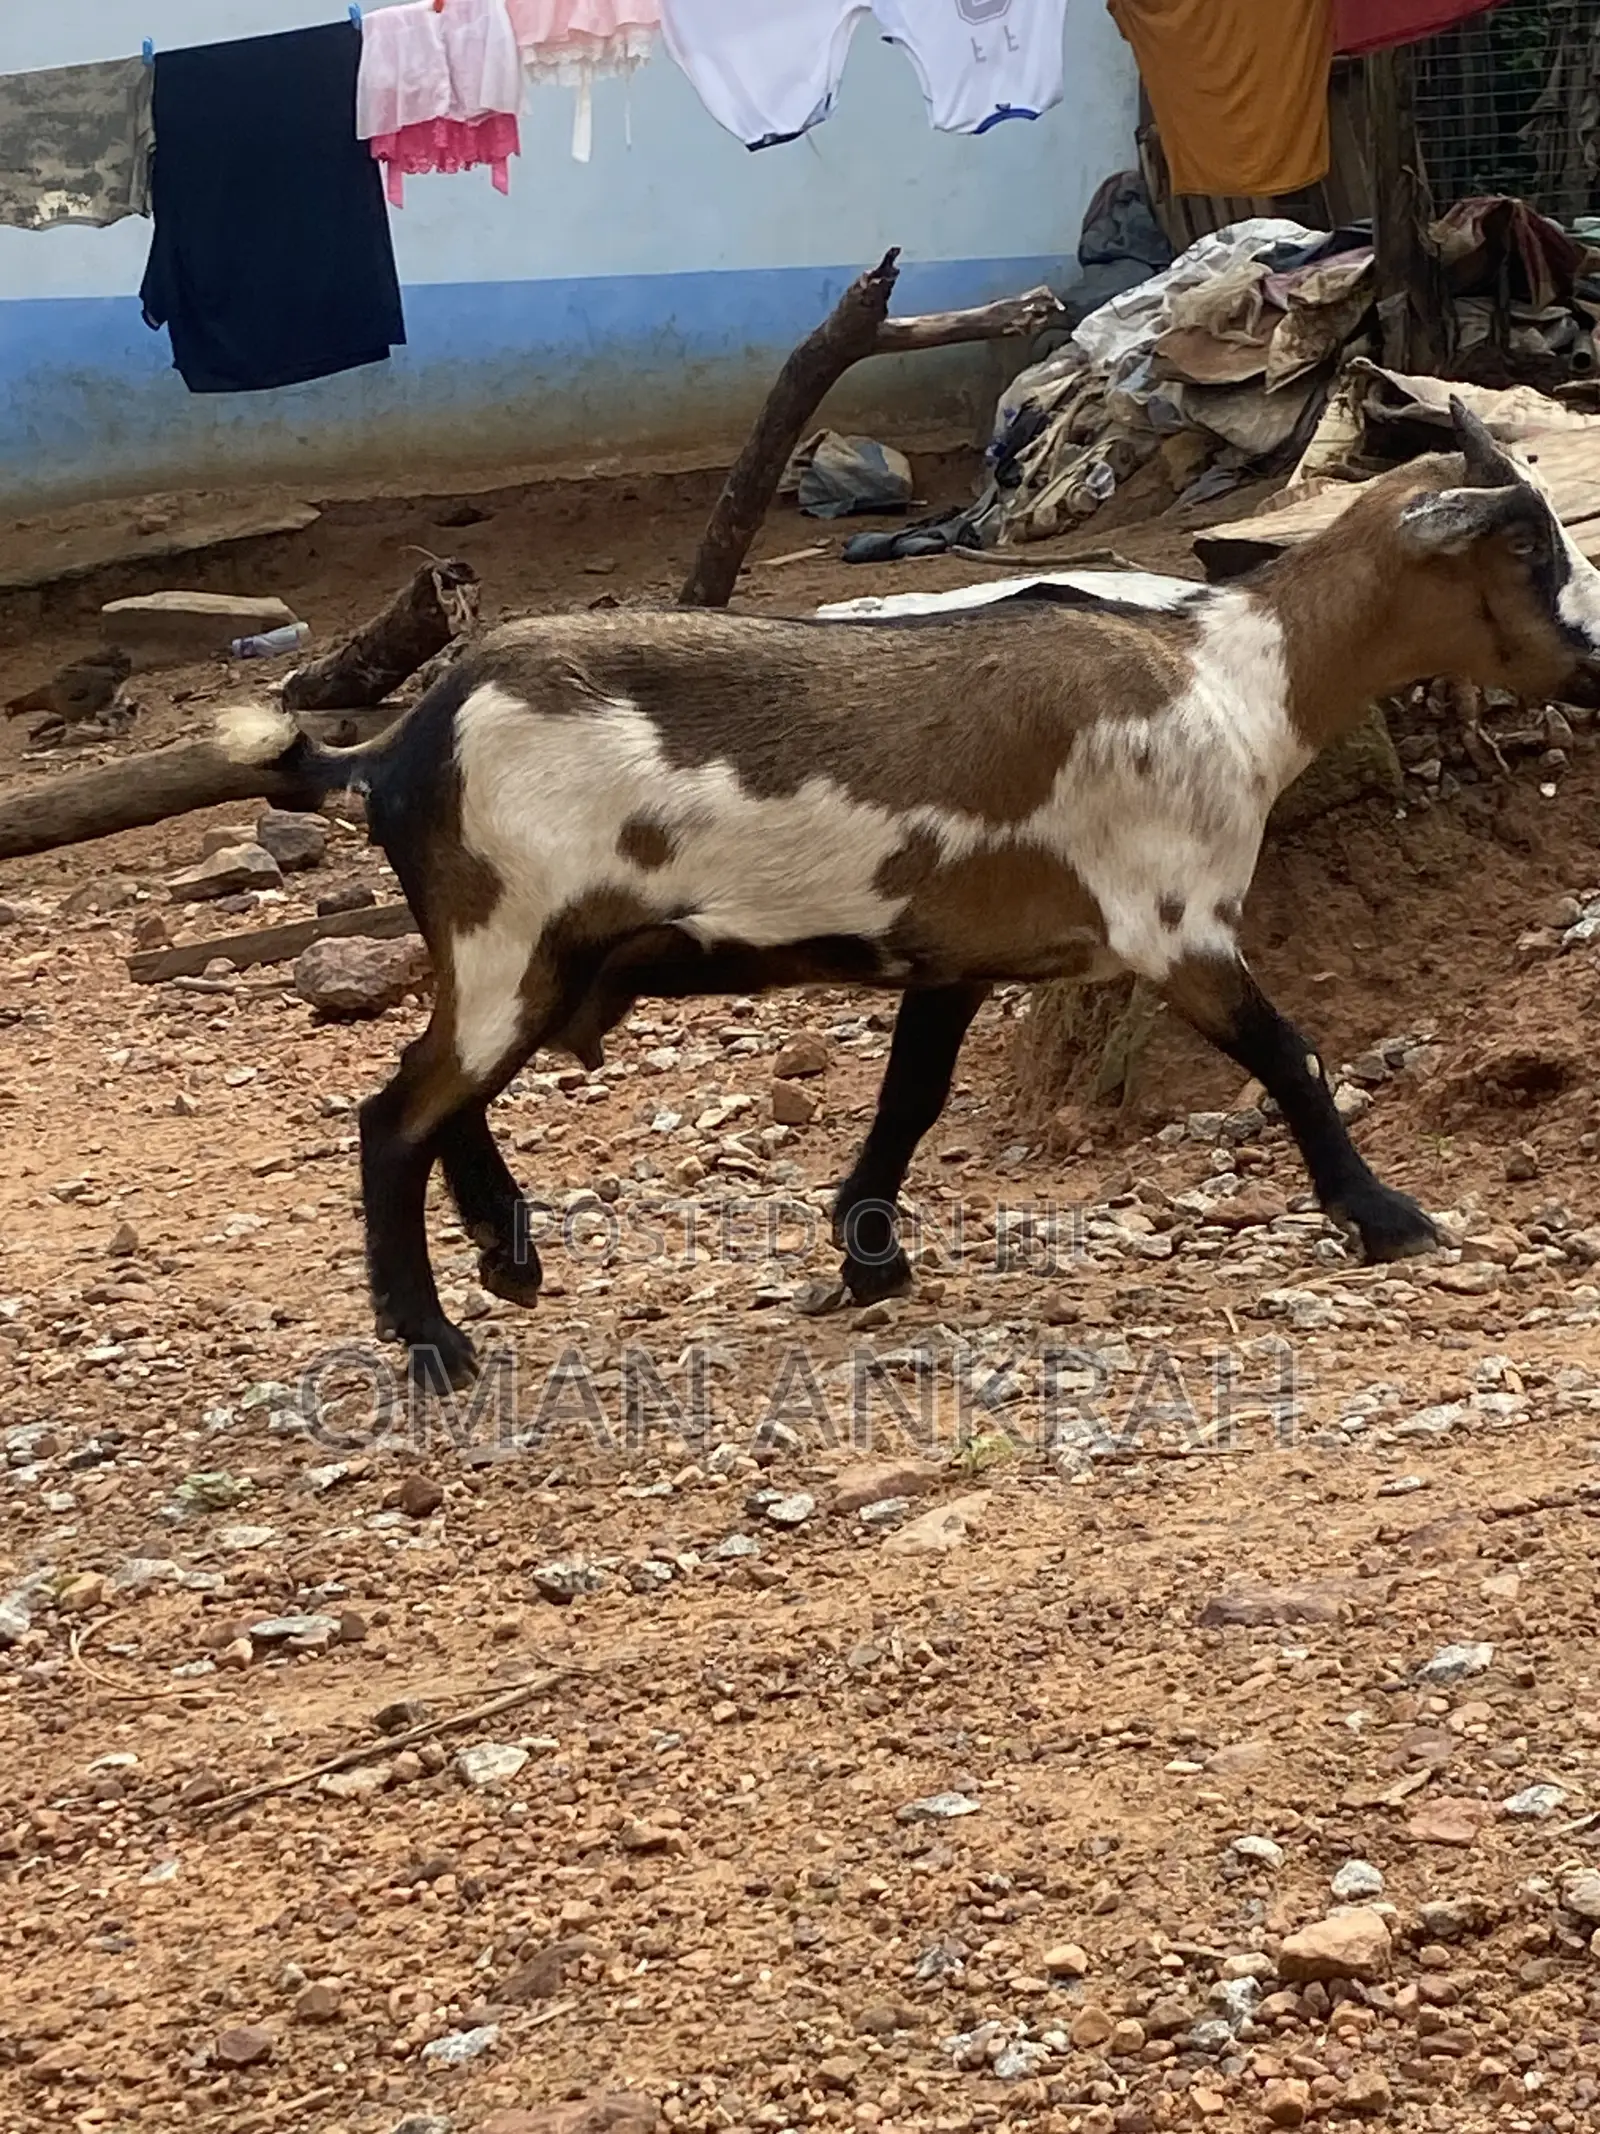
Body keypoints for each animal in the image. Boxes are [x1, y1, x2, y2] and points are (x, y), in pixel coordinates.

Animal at [221, 400, 1600, 1391]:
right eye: (1527, 545)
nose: (1594, 662)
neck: (1234, 681)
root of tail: (398, 749)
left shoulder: (955, 953)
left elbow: (912, 1099)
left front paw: (866, 1257)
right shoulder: (1173, 923)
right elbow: (1293, 1056)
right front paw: (1386, 1216)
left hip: (515, 956)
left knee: (445, 1094)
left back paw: (507, 1255)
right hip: (508, 936)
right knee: (396, 1114)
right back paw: (432, 1342)